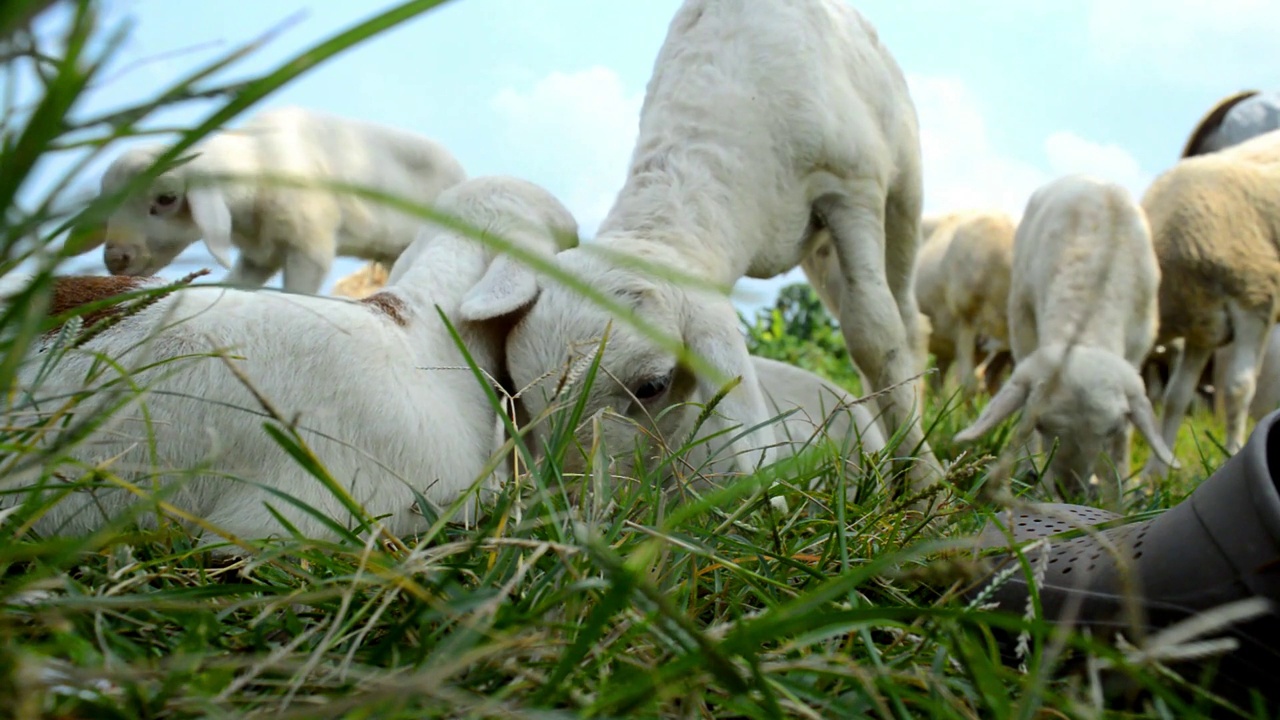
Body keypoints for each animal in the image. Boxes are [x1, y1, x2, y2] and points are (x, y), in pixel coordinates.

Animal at [455, 0, 936, 491]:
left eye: (653, 386)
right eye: (520, 392)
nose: (572, 498)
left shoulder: (850, 186)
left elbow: (874, 336)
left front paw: (923, 483)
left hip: (902, 186)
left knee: (905, 319)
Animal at [952, 174, 1177, 499]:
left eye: (1110, 430)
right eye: (1041, 426)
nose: (1067, 490)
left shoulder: (1139, 348)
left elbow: (1123, 443)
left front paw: (1119, 491)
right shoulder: (1021, 321)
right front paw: (1029, 475)